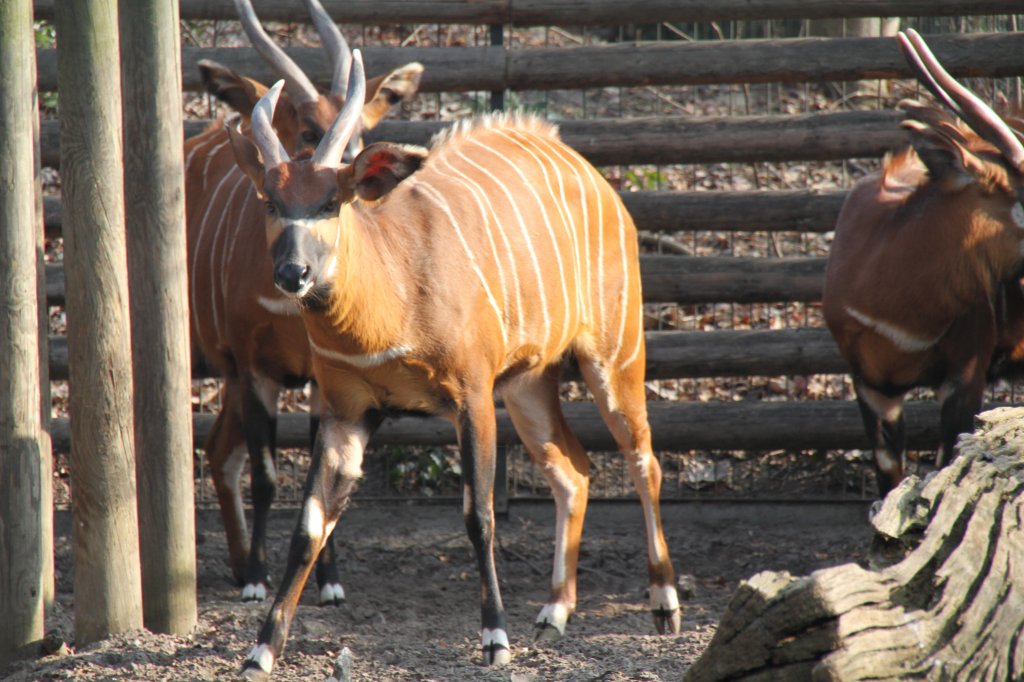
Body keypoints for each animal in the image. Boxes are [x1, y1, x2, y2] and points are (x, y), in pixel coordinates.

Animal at [186, 0, 421, 602]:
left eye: (364, 131)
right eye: (308, 128)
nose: (295, 271)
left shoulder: (321, 375)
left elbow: (322, 470)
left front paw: (330, 581)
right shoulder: (254, 368)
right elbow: (269, 476)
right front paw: (258, 581)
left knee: (219, 450)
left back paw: (240, 561)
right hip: (215, 366)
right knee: (221, 454)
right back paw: (242, 567)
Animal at [230, 51, 679, 675]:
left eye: (330, 202)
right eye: (272, 202)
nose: (293, 272)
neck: (391, 299)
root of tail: (595, 179)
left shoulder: (472, 398)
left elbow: (479, 515)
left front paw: (495, 638)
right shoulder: (349, 412)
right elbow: (310, 523)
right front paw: (261, 651)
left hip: (614, 355)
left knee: (643, 460)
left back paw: (663, 602)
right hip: (529, 386)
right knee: (575, 471)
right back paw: (555, 612)